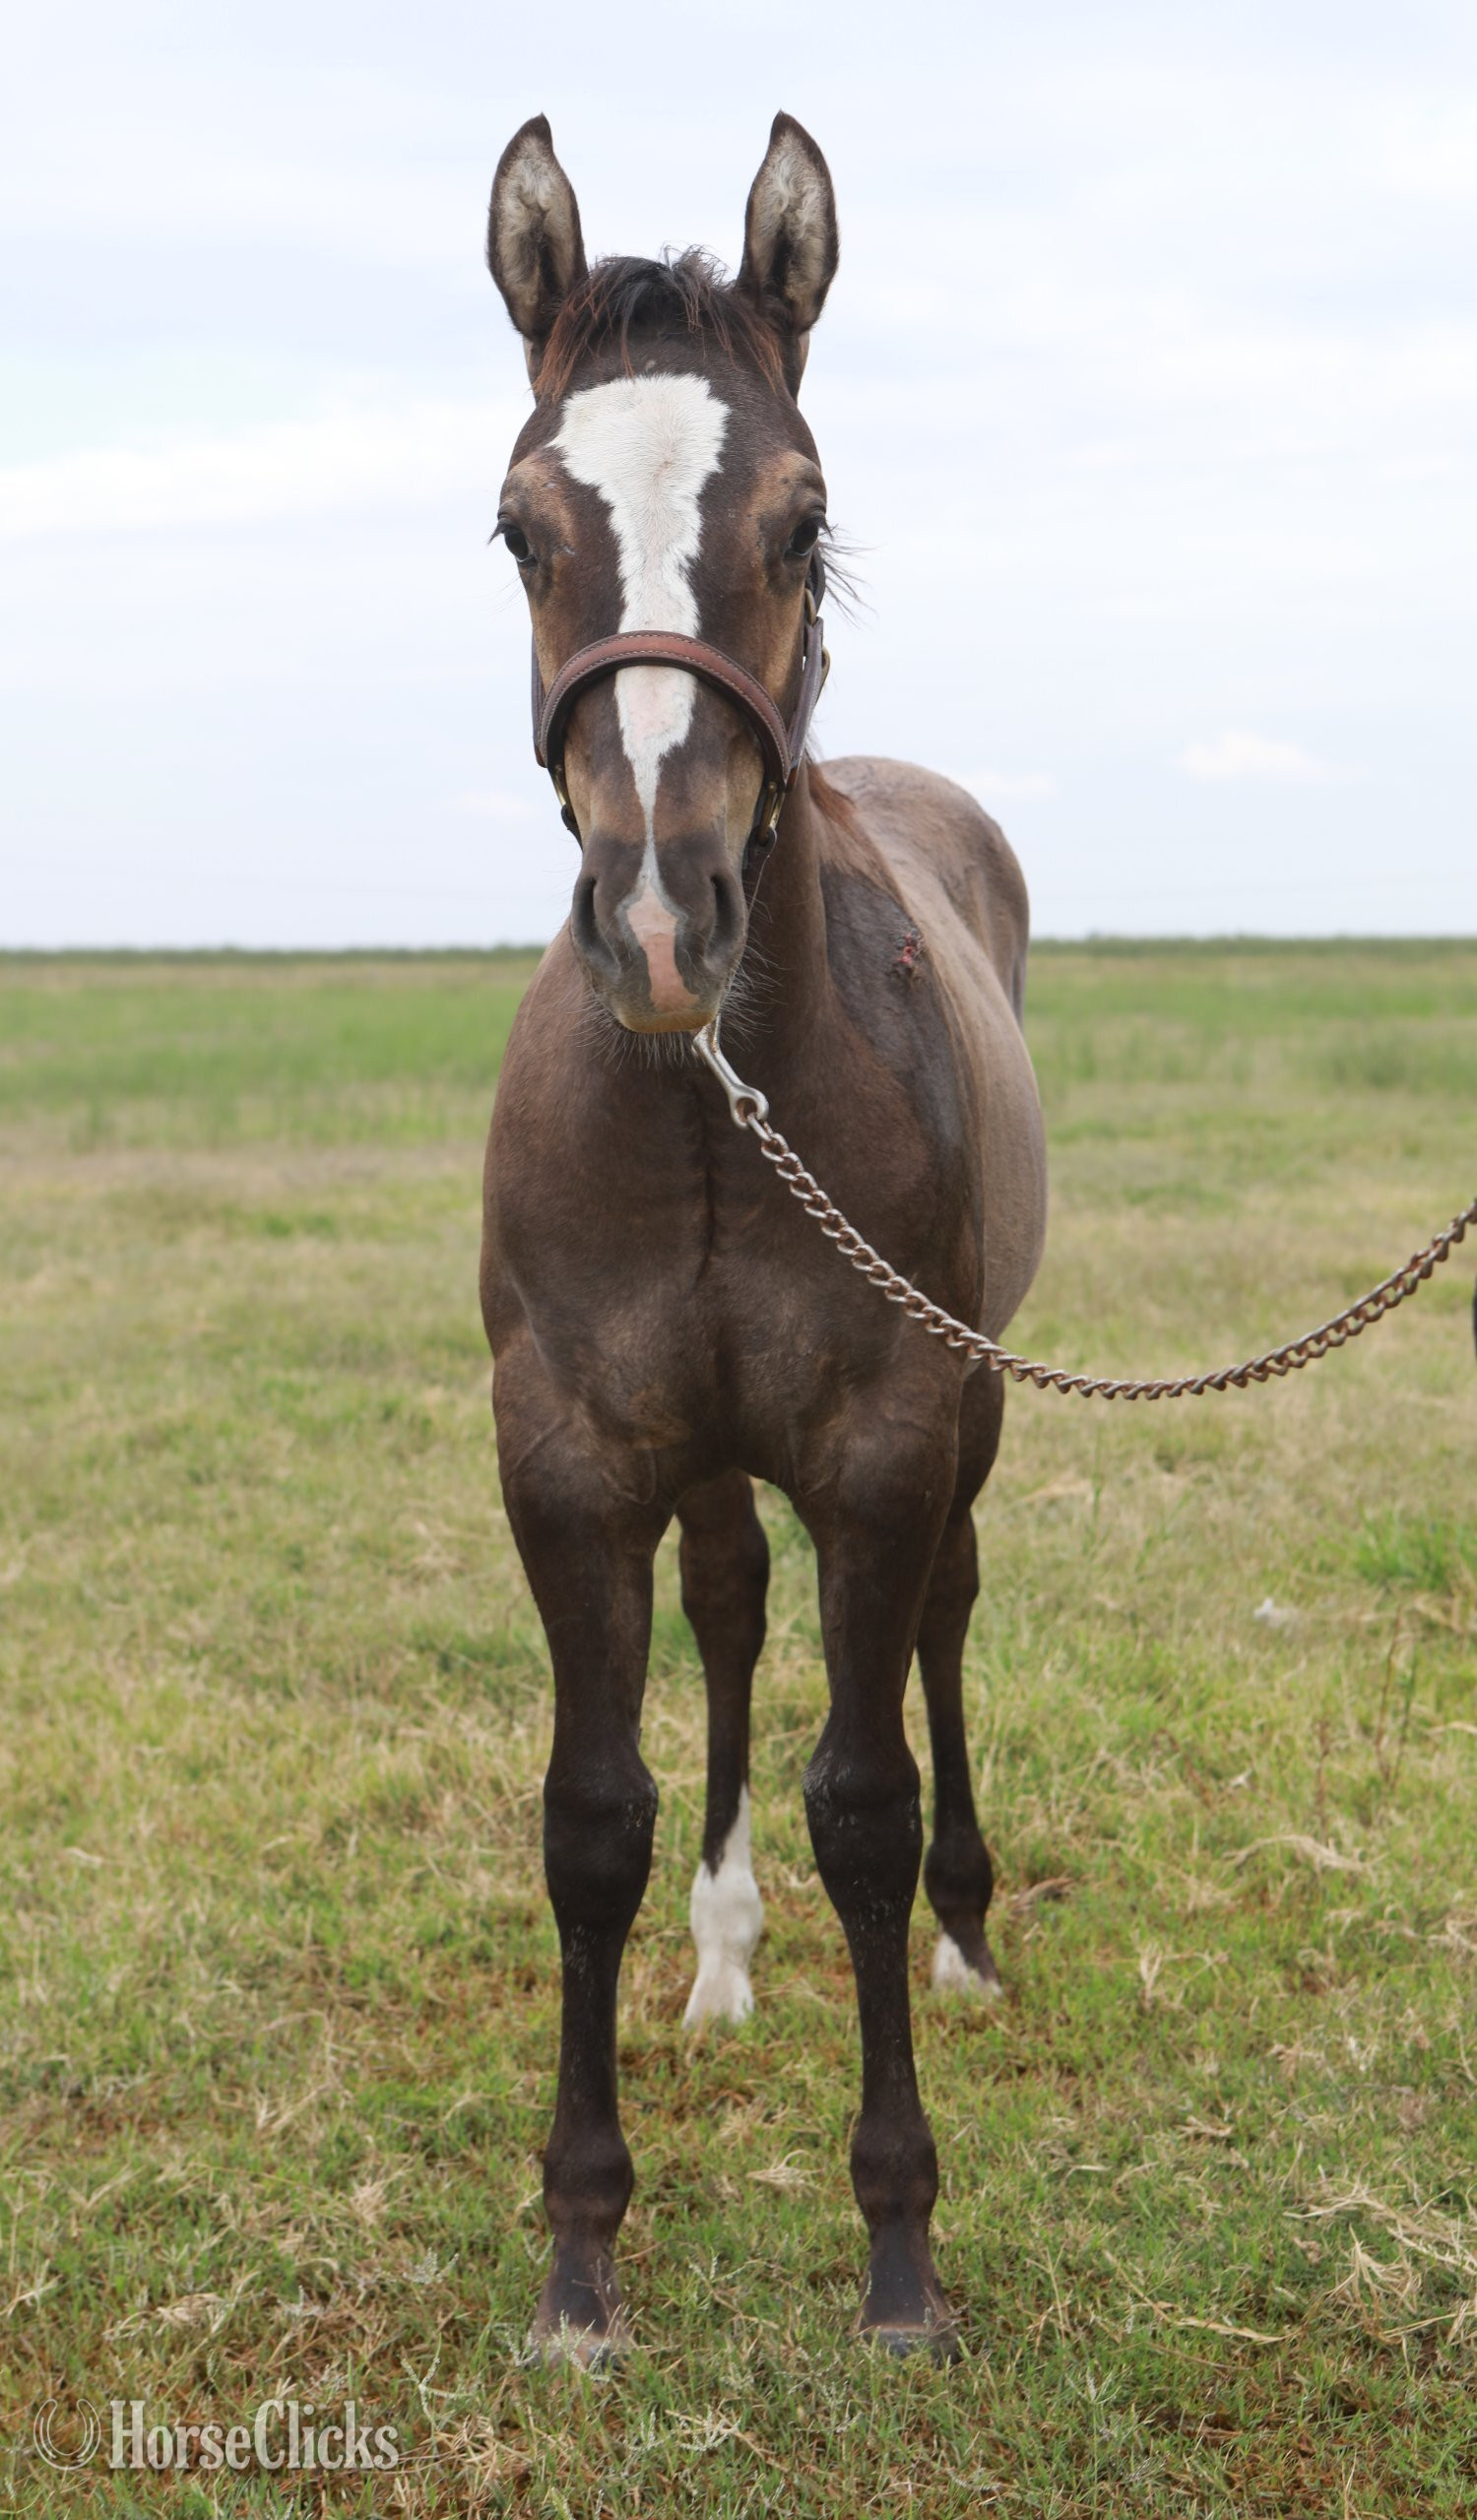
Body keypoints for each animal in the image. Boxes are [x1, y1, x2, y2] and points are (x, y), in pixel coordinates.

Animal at [481, 110, 1047, 2361]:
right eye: (519, 525)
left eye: (801, 516)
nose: (664, 918)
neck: (712, 1108)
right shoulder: (570, 1456)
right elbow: (592, 1817)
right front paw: (578, 2256)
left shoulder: (886, 1440)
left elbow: (862, 1802)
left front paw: (900, 2249)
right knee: (726, 1605)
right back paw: (721, 1955)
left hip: (965, 1412)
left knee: (949, 1618)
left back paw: (970, 1937)